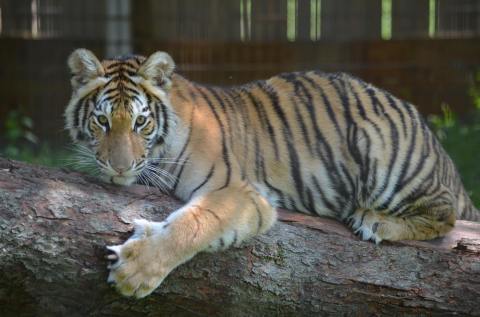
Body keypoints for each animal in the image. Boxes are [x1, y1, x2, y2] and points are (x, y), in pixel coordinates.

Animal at [64, 48, 480, 298]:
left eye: (141, 122)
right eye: (102, 121)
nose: (119, 167)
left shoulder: (240, 193)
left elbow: (192, 225)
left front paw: (133, 273)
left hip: (384, 155)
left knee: (444, 215)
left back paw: (376, 221)